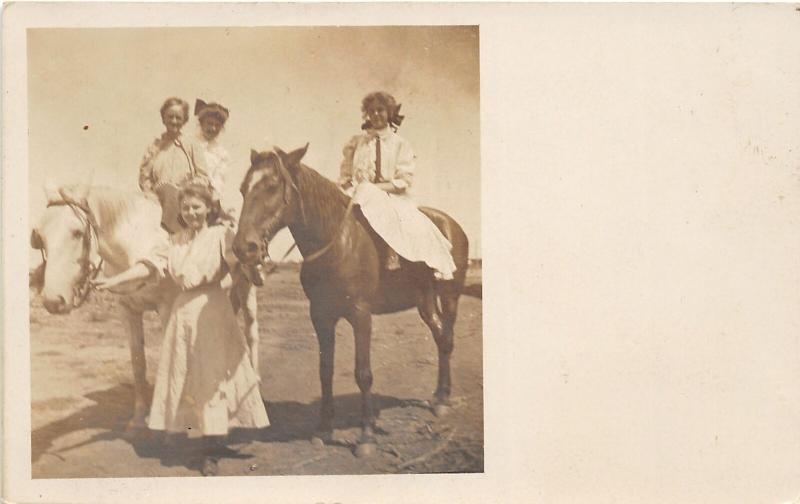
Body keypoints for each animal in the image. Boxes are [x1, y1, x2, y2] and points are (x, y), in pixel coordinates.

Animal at [28, 185, 258, 434]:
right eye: (40, 236)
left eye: (77, 232)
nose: (53, 300)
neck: (135, 244)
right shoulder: (127, 310)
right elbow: (138, 362)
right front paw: (138, 417)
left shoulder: (167, 307)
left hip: (247, 288)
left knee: (251, 334)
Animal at [231, 145, 468, 456]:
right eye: (243, 189)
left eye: (271, 185)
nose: (243, 247)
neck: (338, 242)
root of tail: (452, 225)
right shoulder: (320, 316)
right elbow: (325, 370)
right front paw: (323, 429)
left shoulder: (361, 315)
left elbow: (363, 373)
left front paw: (366, 436)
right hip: (425, 301)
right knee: (440, 336)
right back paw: (438, 397)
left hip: (450, 294)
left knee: (448, 340)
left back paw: (443, 402)